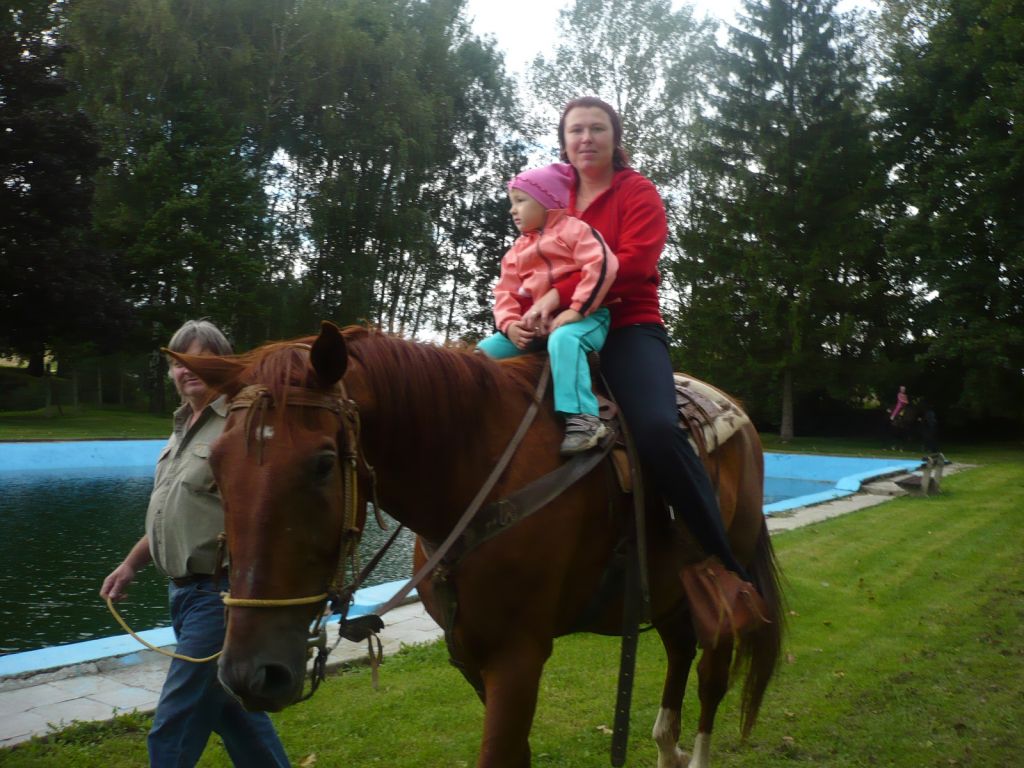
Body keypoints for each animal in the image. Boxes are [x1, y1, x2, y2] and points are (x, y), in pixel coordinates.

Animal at [170, 321, 783, 768]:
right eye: (216, 468)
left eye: (322, 464)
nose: (248, 675)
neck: (479, 473)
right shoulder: (468, 653)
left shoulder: (518, 656)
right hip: (670, 590)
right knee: (680, 651)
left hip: (717, 582)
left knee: (713, 669)